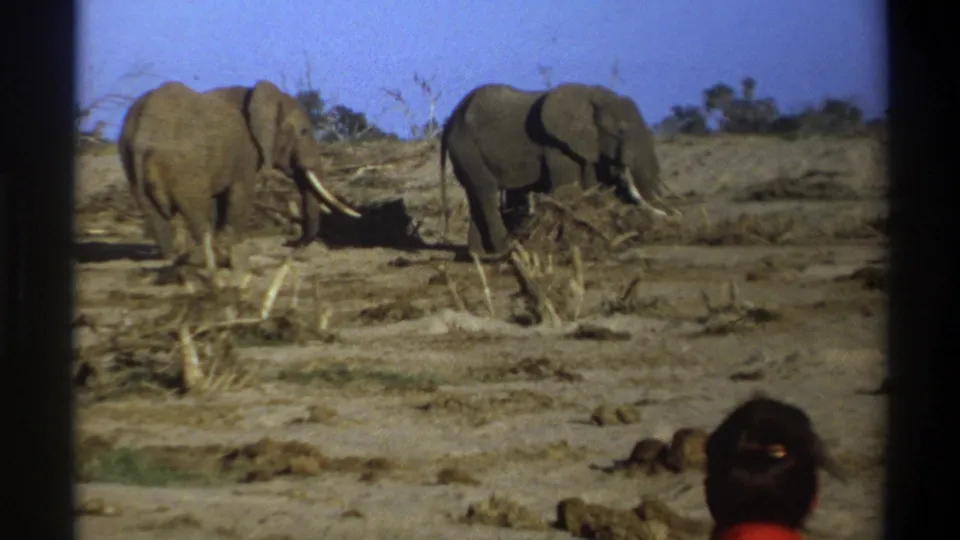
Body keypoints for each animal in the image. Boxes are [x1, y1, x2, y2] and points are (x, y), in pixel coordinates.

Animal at [118, 80, 361, 268]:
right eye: (303, 132)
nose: (289, 242)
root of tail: (143, 134)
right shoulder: (245, 152)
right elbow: (239, 194)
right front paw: (233, 246)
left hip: (130, 160)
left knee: (153, 212)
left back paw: (173, 255)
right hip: (182, 164)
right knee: (196, 208)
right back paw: (207, 254)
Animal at [439, 82, 680, 258]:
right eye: (620, 130)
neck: (591, 95)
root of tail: (451, 118)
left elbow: (595, 186)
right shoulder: (556, 146)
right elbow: (568, 191)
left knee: (478, 195)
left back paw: (480, 256)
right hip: (466, 147)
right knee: (486, 192)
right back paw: (507, 250)